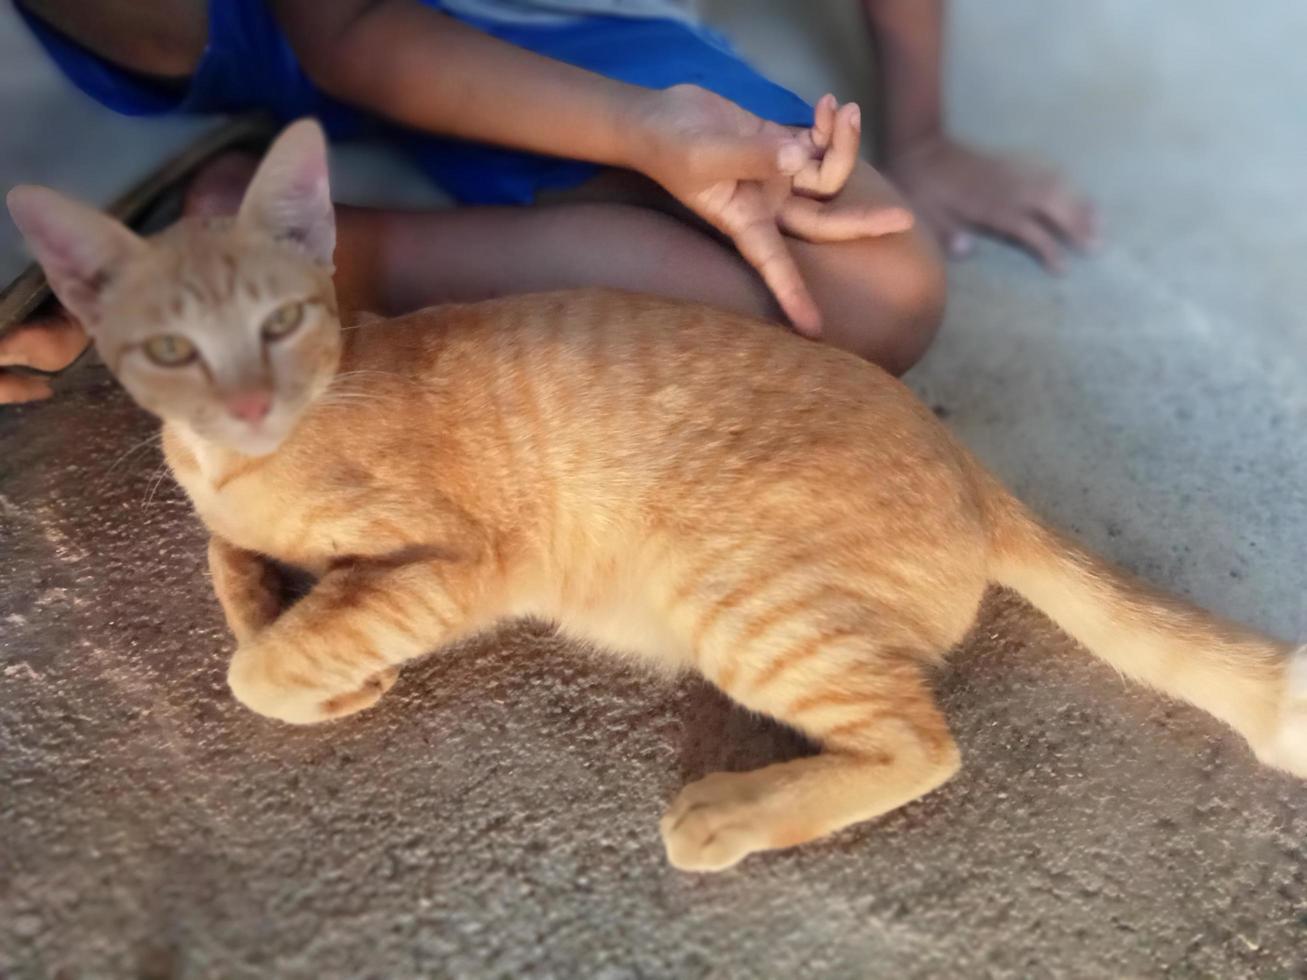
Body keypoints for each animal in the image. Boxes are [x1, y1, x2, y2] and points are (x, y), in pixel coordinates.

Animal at [7, 118, 1296, 872]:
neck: (247, 458)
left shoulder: (452, 560)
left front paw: (316, 665)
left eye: (279, 322)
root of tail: (969, 462)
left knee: (921, 741)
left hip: (738, 591)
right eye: (170, 350)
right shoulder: (233, 518)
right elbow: (230, 574)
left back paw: (729, 812)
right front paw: (296, 627)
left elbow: (257, 663)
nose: (246, 402)